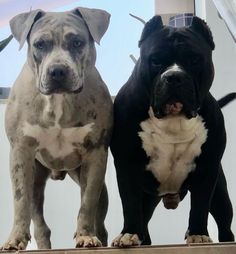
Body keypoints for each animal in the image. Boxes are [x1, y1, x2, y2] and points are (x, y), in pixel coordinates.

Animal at [110, 15, 234, 246]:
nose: (174, 76)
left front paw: (198, 234)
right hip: (149, 196)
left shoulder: (207, 168)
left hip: (220, 194)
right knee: (143, 217)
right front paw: (128, 233)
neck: (173, 120)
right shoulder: (127, 166)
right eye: (155, 60)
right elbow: (129, 204)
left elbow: (200, 205)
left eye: (194, 59)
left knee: (225, 222)